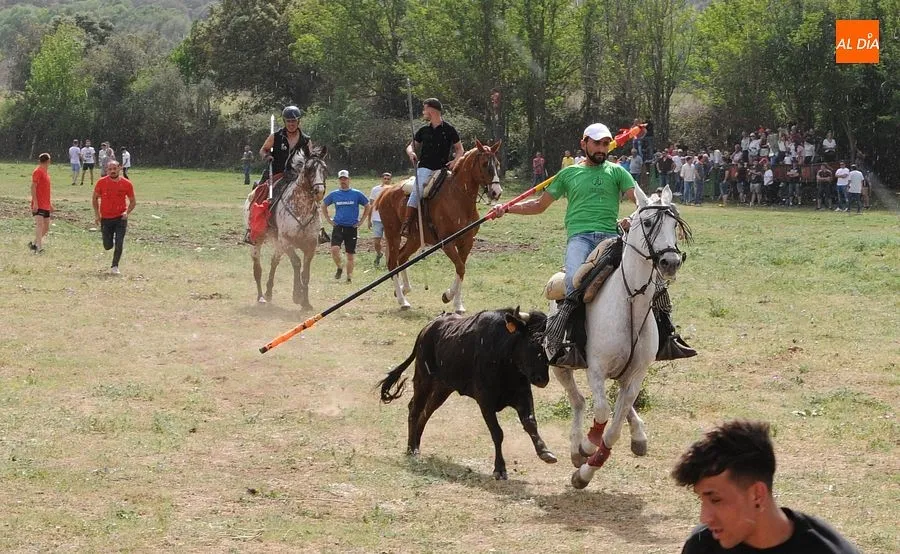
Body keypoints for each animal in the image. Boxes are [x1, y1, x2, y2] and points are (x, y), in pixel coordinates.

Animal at [243, 146, 328, 308]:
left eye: (324, 169)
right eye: (309, 169)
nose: (319, 191)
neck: (301, 209)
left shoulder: (311, 245)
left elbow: (305, 273)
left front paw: (306, 302)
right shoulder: (287, 242)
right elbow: (297, 263)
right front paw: (297, 295)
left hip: (278, 243)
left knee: (274, 261)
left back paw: (269, 292)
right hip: (258, 240)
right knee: (257, 268)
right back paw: (261, 296)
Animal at [374, 139, 503, 314]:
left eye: (497, 164)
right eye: (484, 164)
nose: (497, 192)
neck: (458, 197)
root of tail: (386, 191)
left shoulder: (467, 242)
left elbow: (461, 269)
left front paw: (456, 302)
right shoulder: (446, 243)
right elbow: (460, 267)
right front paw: (449, 296)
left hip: (414, 239)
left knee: (402, 258)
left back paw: (404, 289)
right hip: (392, 234)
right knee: (393, 263)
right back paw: (402, 301)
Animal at [552, 185, 692, 489]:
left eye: (675, 224)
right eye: (648, 222)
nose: (671, 262)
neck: (629, 302)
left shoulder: (637, 374)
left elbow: (614, 429)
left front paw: (585, 472)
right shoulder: (595, 370)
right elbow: (603, 413)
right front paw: (587, 446)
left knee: (618, 405)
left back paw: (638, 436)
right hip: (560, 367)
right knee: (579, 402)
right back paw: (576, 447)